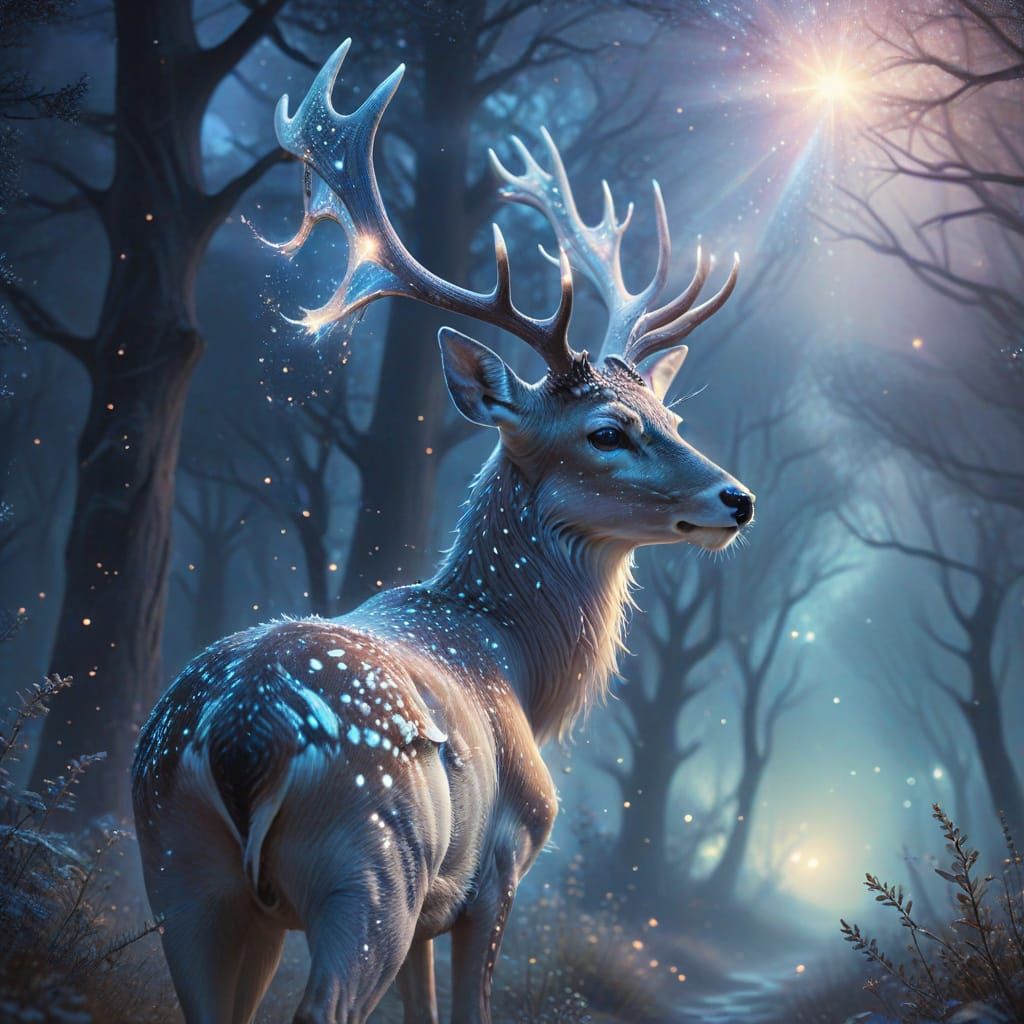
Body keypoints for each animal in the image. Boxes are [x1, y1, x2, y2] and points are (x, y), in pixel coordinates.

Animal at [132, 39, 755, 1024]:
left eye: (670, 411)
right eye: (607, 432)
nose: (738, 498)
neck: (517, 662)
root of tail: (240, 736)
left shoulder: (433, 905)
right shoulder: (496, 867)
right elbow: (470, 1007)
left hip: (184, 872)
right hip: (370, 860)